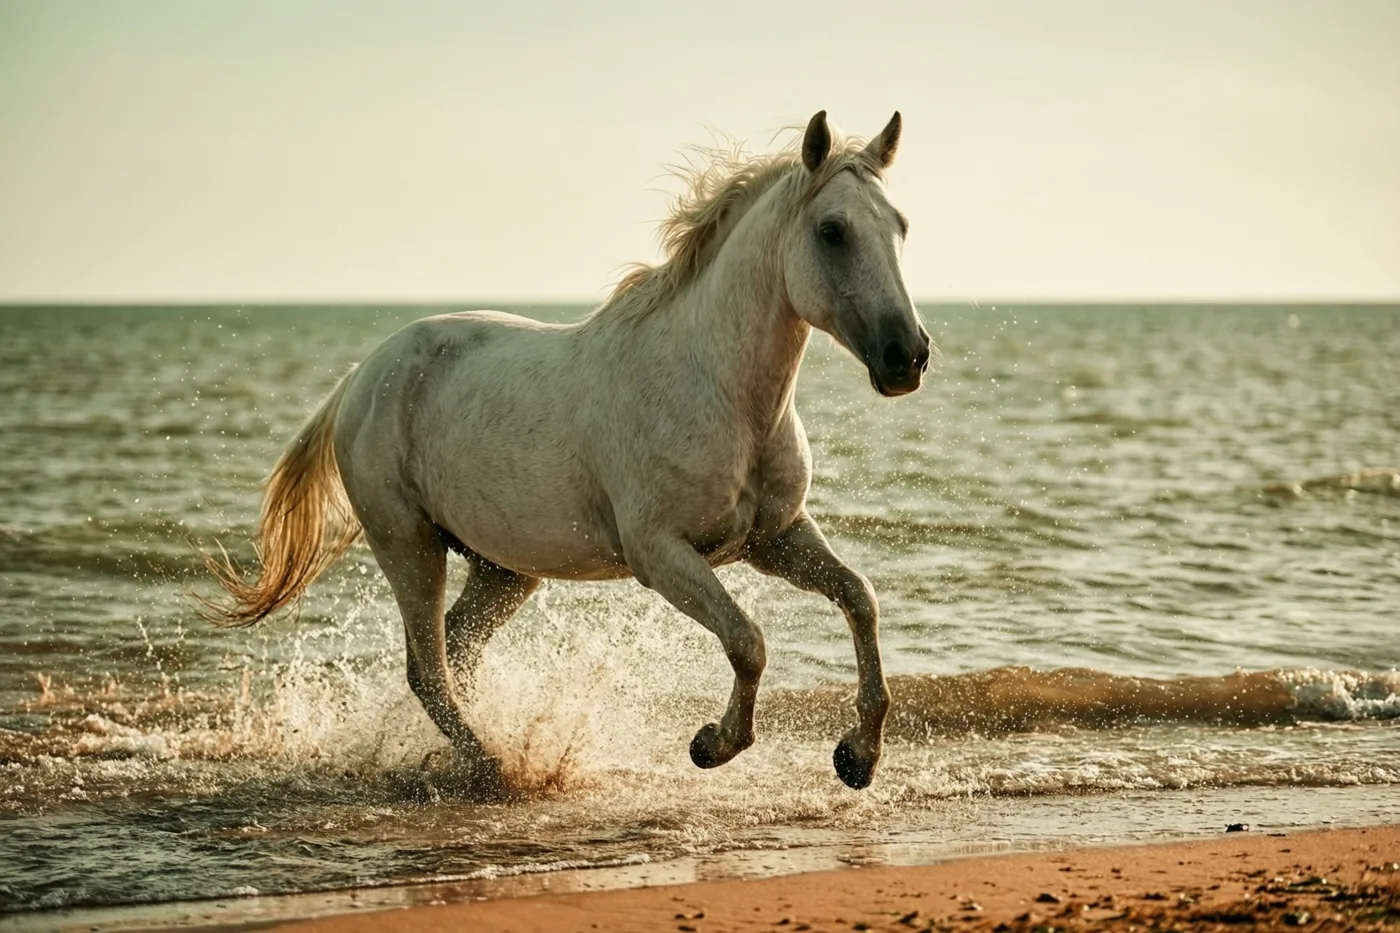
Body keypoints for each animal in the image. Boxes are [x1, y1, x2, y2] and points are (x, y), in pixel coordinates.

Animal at [202, 110, 932, 790]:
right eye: (832, 230)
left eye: (900, 226)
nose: (908, 356)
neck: (718, 389)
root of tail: (363, 374)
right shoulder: (660, 553)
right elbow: (748, 640)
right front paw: (713, 745)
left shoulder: (774, 537)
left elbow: (860, 597)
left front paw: (858, 757)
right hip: (406, 543)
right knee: (429, 669)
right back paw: (498, 771)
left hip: (502, 568)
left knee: (455, 653)